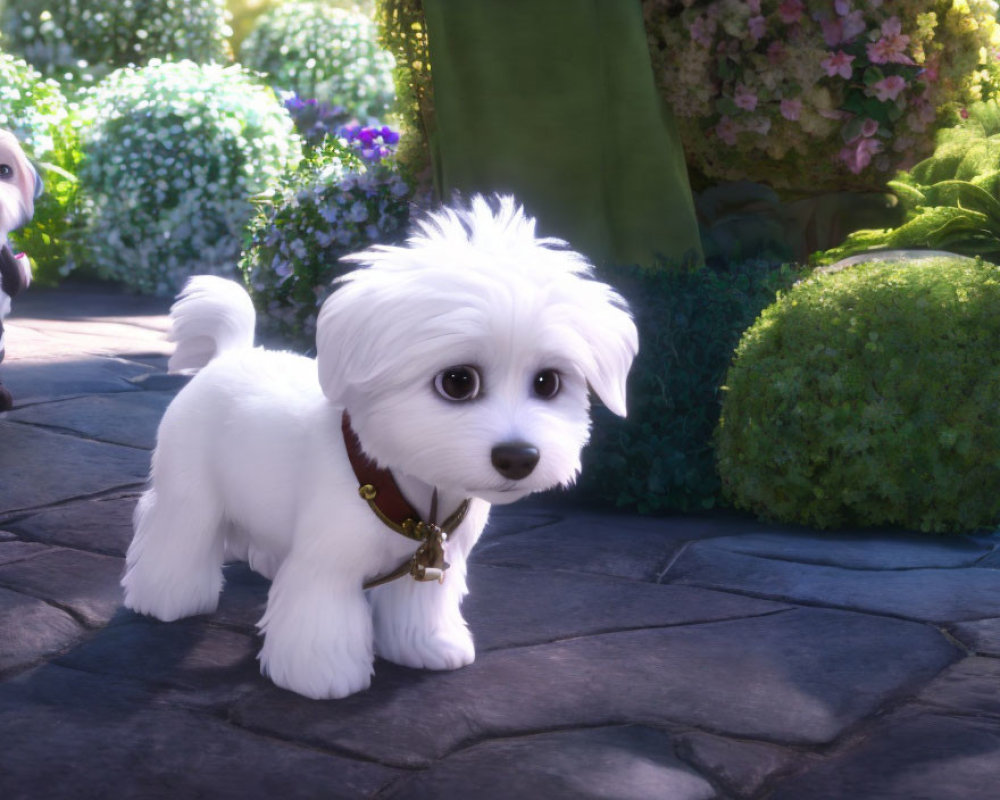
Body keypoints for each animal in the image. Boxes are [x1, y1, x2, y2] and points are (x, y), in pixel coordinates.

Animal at [121, 195, 636, 700]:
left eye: (548, 383)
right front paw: (322, 676)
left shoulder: (429, 565)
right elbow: (321, 618)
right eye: (457, 381)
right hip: (189, 492)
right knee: (177, 534)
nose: (518, 458)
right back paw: (167, 599)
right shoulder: (328, 562)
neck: (413, 487)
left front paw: (429, 648)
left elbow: (419, 610)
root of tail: (230, 354)